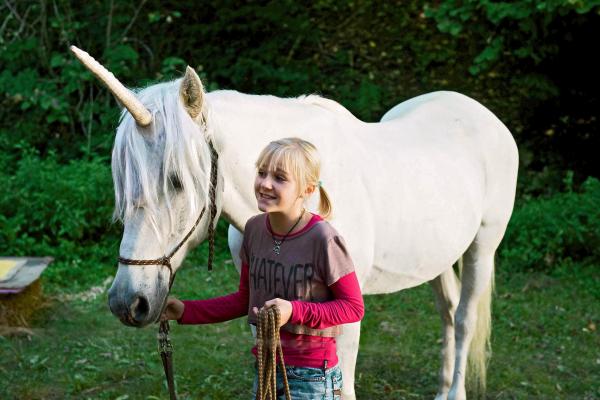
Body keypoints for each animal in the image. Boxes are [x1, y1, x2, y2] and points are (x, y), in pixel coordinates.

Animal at [71, 45, 520, 398]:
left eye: (177, 181)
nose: (127, 302)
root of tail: (481, 113)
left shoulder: (345, 316)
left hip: (483, 245)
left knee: (464, 318)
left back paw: (454, 391)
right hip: (439, 255)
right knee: (448, 311)